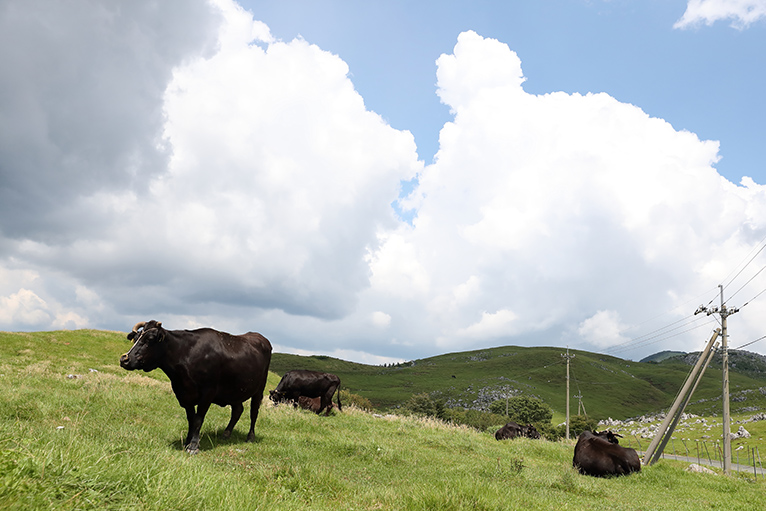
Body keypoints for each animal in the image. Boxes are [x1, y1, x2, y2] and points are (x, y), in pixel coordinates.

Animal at [120, 320, 272, 456]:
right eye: (135, 338)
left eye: (150, 339)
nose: (124, 359)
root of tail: (259, 336)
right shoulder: (184, 394)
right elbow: (191, 419)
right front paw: (187, 441)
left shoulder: (208, 393)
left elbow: (198, 419)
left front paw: (193, 445)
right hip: (234, 390)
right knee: (237, 410)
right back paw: (226, 434)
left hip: (259, 388)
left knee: (254, 412)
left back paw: (250, 437)